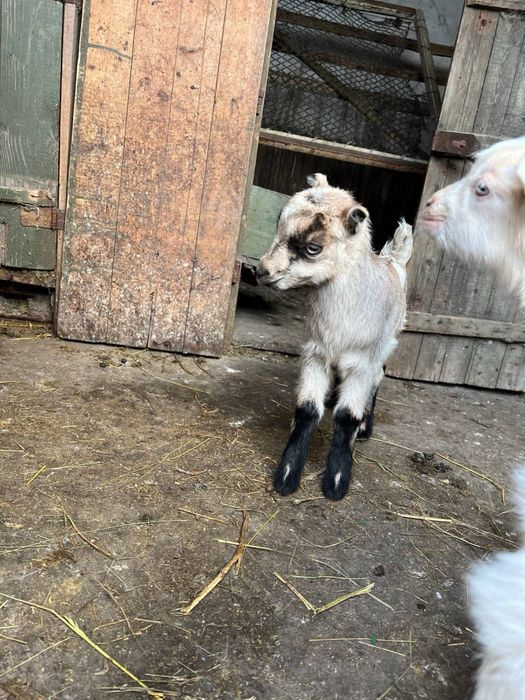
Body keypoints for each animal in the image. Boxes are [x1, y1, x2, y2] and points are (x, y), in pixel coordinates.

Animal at [256, 174, 413, 500]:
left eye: (313, 247)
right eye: (279, 224)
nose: (261, 271)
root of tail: (392, 260)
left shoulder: (362, 362)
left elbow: (347, 417)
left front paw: (337, 481)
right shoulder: (316, 353)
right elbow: (306, 411)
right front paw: (286, 476)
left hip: (385, 345)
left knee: (378, 378)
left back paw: (366, 427)